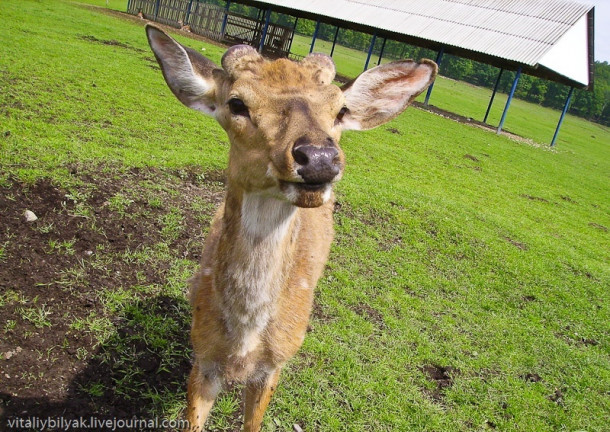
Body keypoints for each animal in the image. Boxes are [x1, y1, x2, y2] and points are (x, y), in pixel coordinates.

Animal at [145, 24, 434, 432]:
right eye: (237, 103)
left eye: (340, 109)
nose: (319, 158)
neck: (243, 344)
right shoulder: (202, 356)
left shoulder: (275, 363)